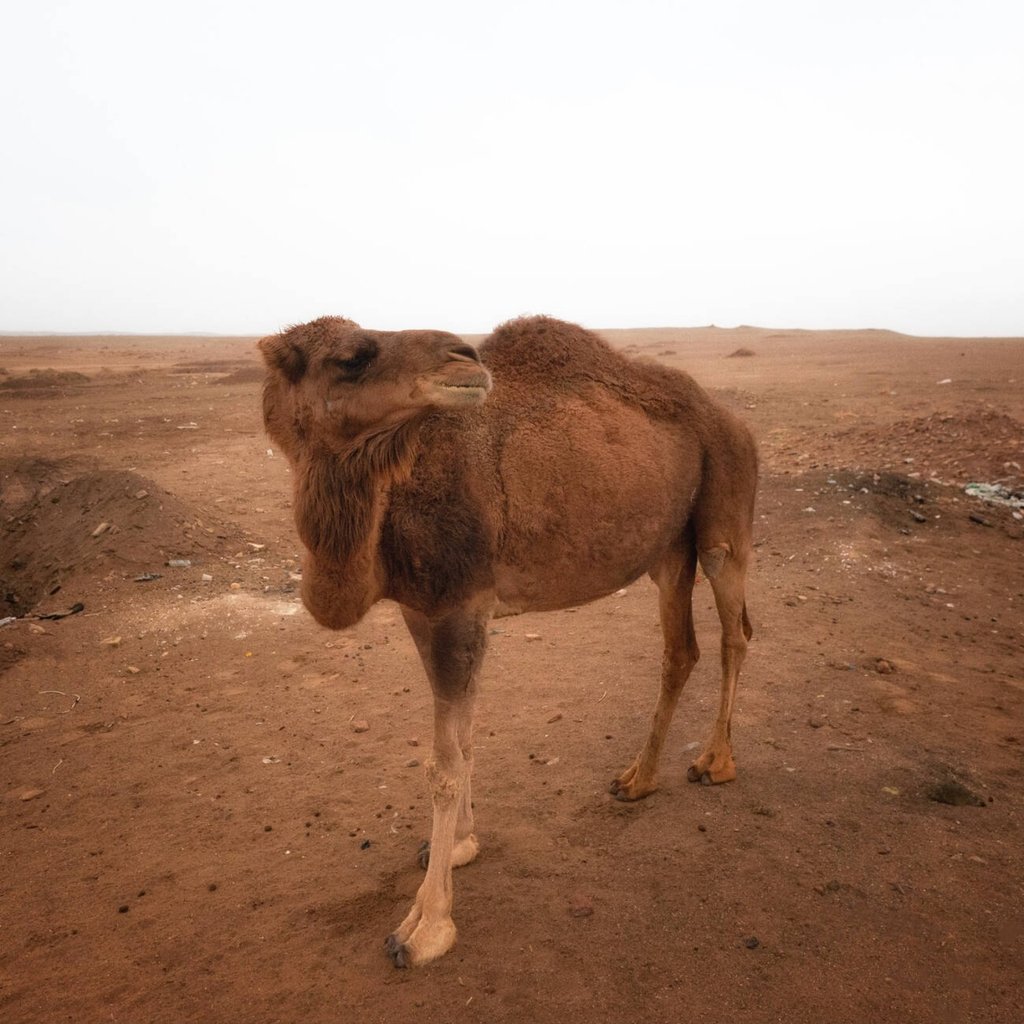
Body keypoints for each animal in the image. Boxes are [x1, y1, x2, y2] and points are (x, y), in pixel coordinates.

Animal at [262, 311, 761, 966]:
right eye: (352, 357)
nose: (463, 356)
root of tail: (736, 421)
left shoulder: (461, 606)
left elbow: (444, 764)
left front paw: (425, 926)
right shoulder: (424, 610)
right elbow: (465, 740)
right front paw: (458, 847)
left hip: (725, 512)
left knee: (735, 633)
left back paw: (716, 763)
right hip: (668, 549)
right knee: (681, 650)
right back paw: (637, 780)